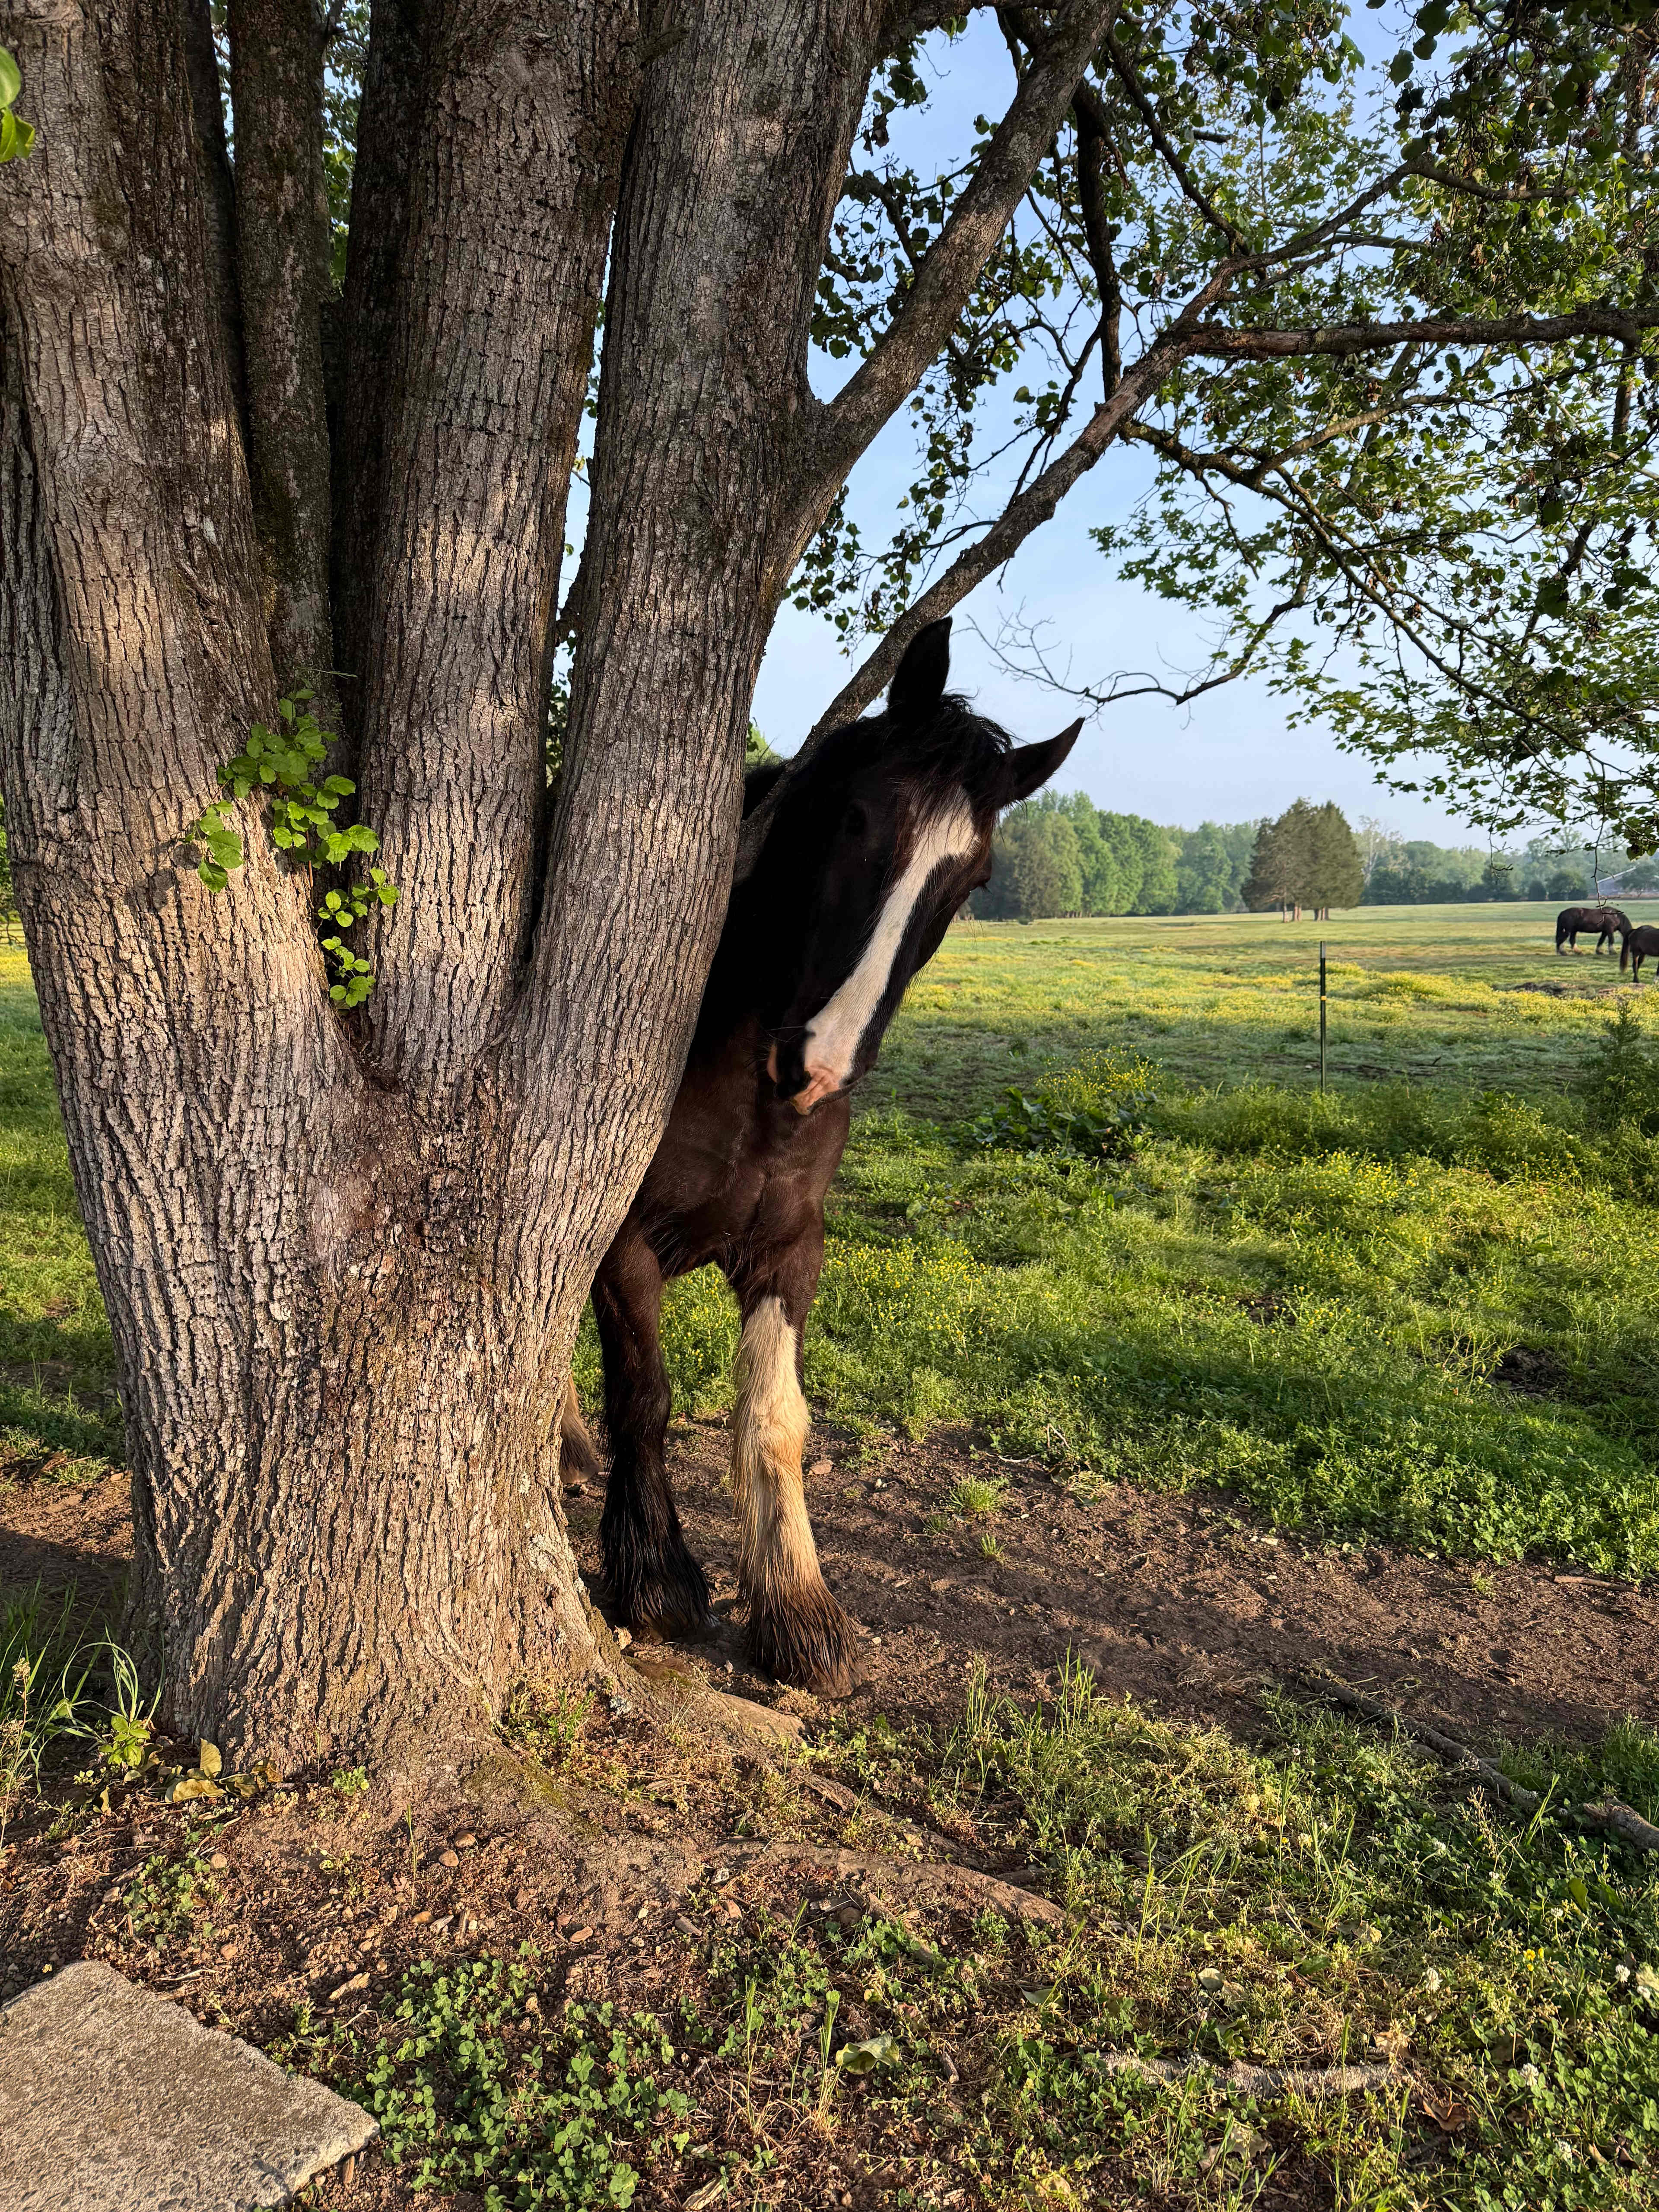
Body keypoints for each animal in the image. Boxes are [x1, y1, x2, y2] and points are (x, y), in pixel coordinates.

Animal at [561, 619, 1079, 1693]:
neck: (749, 1088)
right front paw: (656, 1578)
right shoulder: (622, 1242)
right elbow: (647, 1397)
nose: (820, 1063)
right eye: (852, 814)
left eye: (972, 881)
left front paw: (798, 1607)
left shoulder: (791, 1250)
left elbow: (775, 1419)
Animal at [1556, 905, 1629, 954]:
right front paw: (1613, 952)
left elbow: (1601, 941)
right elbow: (1611, 940)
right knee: (1562, 939)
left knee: (1572, 941)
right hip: (1568, 931)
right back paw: (1563, 953)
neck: (1615, 917)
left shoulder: (1605, 932)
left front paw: (1599, 952)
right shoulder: (1610, 931)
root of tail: (1563, 913)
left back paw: (1578, 952)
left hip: (1574, 931)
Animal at [1621, 923, 1659, 983]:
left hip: (1643, 953)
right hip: (1636, 952)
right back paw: (1636, 980)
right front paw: (1655, 981)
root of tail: (1635, 930)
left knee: (1638, 965)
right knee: (1635, 965)